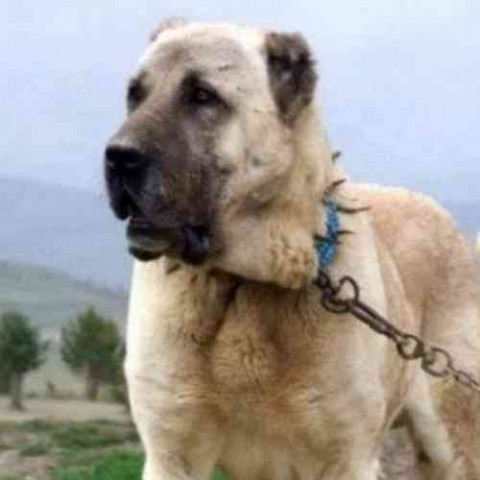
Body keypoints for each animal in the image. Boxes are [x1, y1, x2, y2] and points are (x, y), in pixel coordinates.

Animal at [104, 19, 480, 480]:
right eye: (135, 95)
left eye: (203, 96)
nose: (118, 157)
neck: (242, 285)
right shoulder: (171, 456)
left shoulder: (347, 458)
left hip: (450, 438)